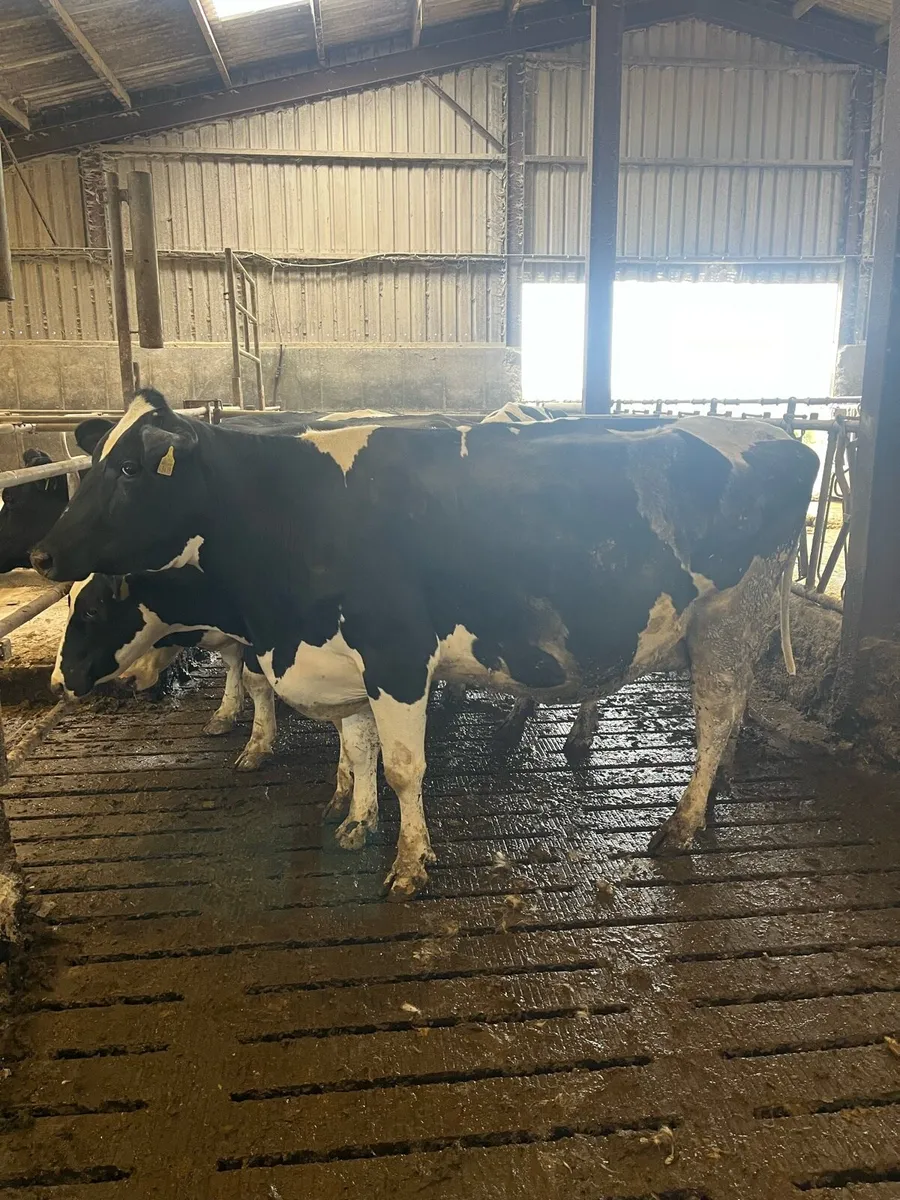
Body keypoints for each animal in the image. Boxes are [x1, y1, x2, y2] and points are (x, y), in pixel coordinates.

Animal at [32, 389, 817, 899]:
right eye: (97, 461)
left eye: (130, 468)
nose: (40, 555)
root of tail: (784, 441)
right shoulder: (337, 659)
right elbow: (356, 748)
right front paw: (355, 822)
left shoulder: (399, 655)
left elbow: (405, 766)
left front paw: (409, 862)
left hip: (729, 619)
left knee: (718, 716)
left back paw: (682, 824)